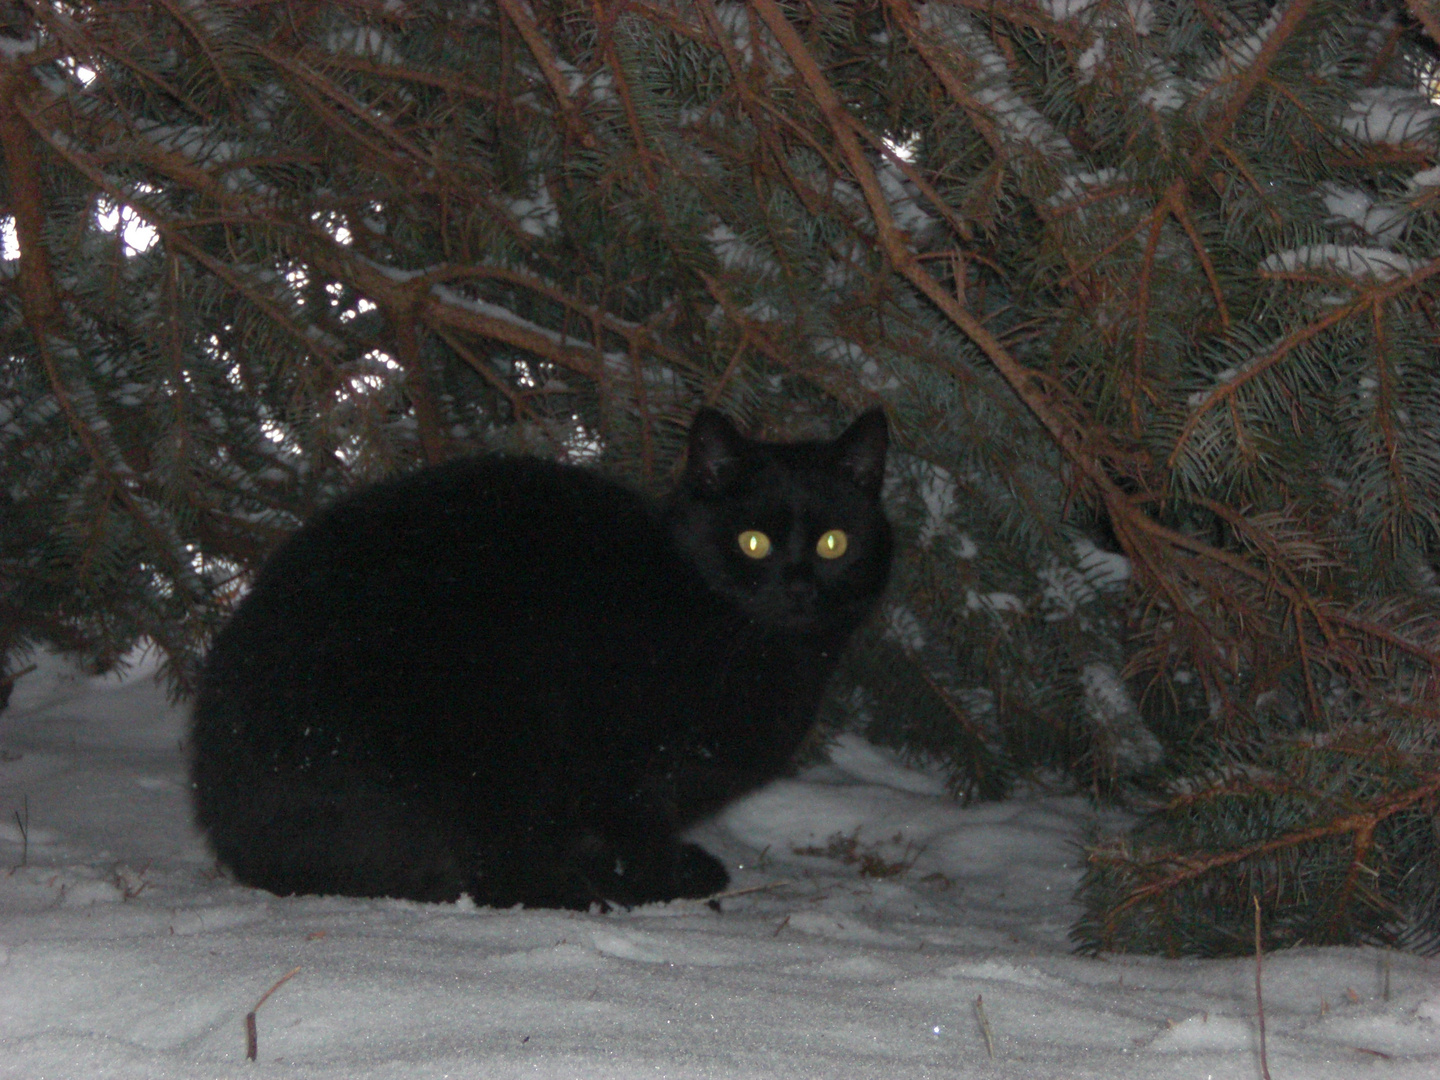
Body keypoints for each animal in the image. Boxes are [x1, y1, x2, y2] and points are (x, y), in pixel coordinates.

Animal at [191, 408, 887, 910]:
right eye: (753, 542)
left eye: (834, 543)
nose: (798, 587)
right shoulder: (619, 758)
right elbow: (638, 833)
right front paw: (664, 880)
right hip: (484, 733)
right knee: (487, 872)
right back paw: (572, 893)